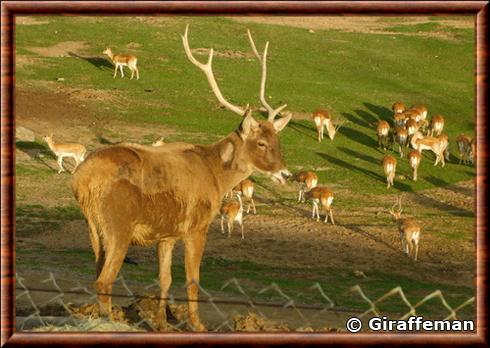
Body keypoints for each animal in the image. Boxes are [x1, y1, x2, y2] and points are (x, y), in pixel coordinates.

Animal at [72, 25, 290, 332]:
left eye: (278, 140)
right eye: (261, 143)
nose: (285, 173)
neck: (215, 175)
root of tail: (80, 180)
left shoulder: (166, 234)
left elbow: (165, 279)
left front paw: (162, 322)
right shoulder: (196, 227)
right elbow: (192, 280)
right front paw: (198, 325)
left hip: (93, 227)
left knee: (96, 275)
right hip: (118, 225)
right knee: (104, 280)